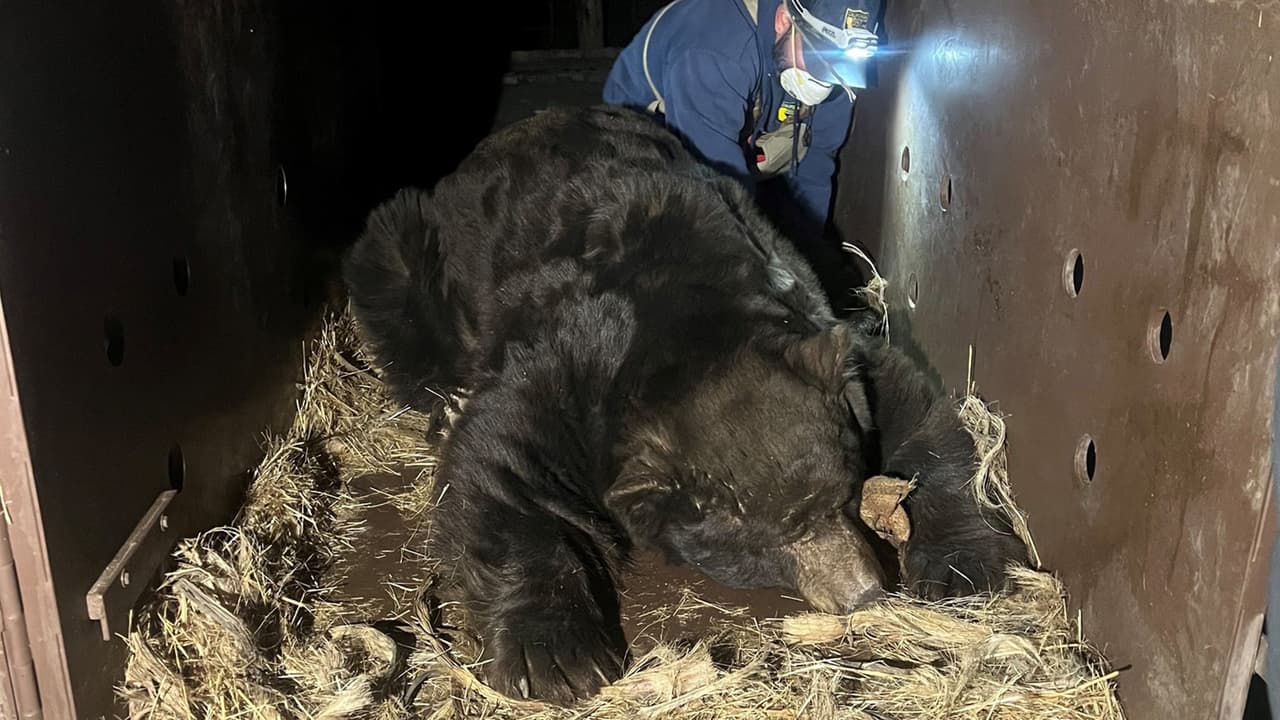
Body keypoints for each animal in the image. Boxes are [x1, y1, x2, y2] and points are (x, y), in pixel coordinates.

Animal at [342, 104, 1029, 705]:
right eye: (766, 541)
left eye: (844, 496)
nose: (863, 593)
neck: (687, 319)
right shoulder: (568, 363)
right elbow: (497, 456)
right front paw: (558, 658)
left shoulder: (823, 332)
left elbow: (914, 405)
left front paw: (962, 564)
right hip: (412, 251)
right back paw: (441, 394)